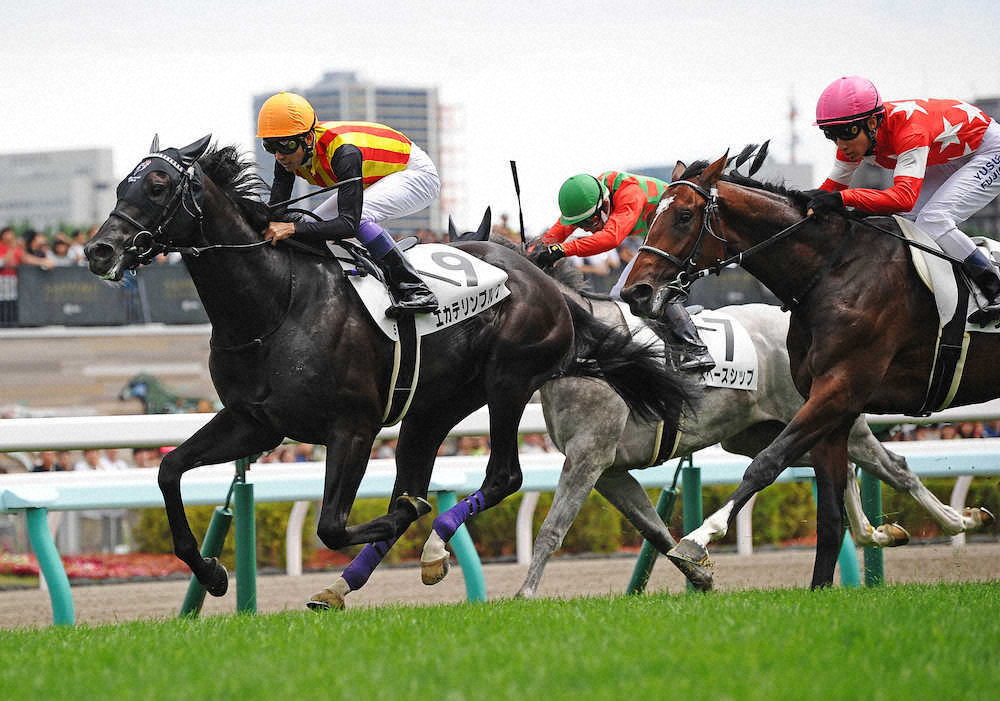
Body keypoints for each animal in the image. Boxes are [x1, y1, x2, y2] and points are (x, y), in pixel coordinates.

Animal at [84, 136, 696, 600]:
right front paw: (211, 572)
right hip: (433, 408)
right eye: (119, 187)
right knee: (427, 472)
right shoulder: (254, 422)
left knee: (502, 476)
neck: (276, 302)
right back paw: (351, 581)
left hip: (508, 381)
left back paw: (430, 544)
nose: (99, 251)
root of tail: (542, 279)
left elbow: (335, 525)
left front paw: (409, 523)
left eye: (158, 186)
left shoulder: (352, 426)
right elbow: (168, 470)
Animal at [620, 153, 997, 589]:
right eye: (653, 216)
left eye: (684, 215)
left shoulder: (839, 389)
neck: (834, 273)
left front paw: (698, 539)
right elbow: (829, 514)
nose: (635, 292)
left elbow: (767, 463)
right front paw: (821, 589)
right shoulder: (833, 403)